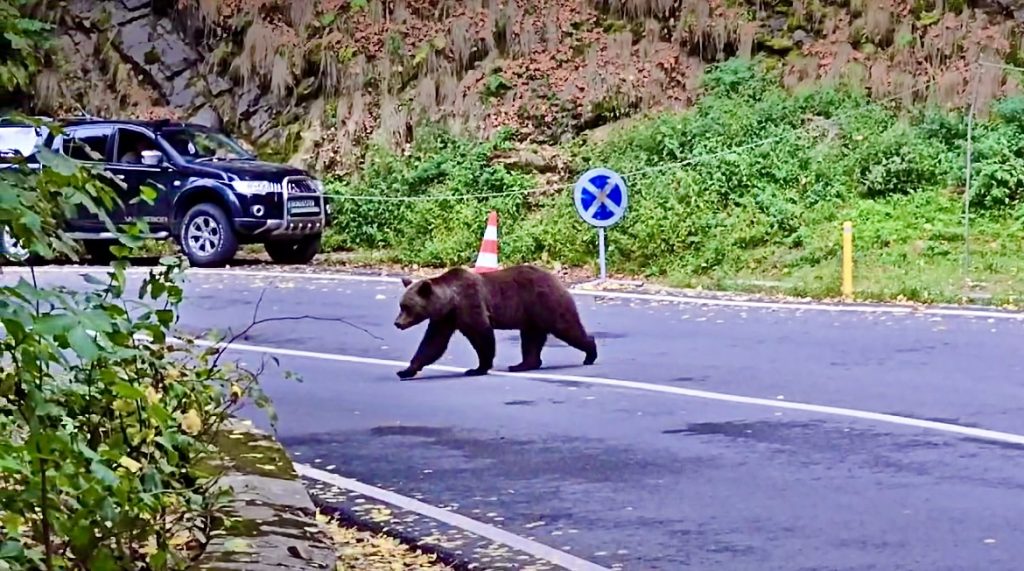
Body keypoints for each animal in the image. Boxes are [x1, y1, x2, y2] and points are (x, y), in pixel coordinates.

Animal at [391, 264, 598, 380]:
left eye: (406, 307)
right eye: (401, 305)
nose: (397, 323)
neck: (451, 302)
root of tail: (556, 279)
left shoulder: (471, 304)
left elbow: (482, 334)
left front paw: (477, 368)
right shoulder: (445, 319)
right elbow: (433, 343)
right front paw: (406, 371)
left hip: (546, 303)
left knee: (566, 327)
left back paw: (590, 353)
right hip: (531, 315)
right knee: (531, 339)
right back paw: (522, 365)